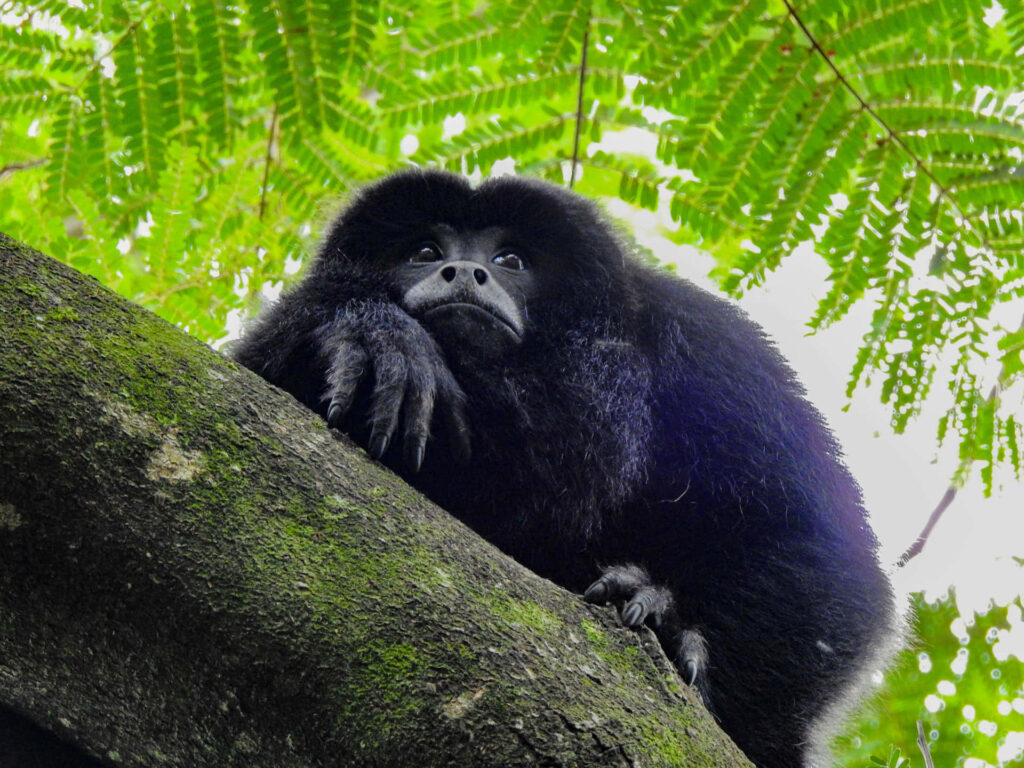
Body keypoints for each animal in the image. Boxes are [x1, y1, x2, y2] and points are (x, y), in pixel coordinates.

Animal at [230, 168, 897, 768]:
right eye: (425, 252)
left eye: (510, 258)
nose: (463, 271)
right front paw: (373, 328)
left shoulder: (709, 346)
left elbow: (820, 546)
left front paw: (676, 625)